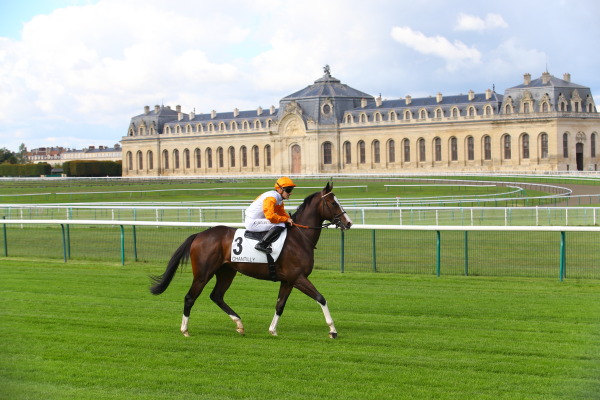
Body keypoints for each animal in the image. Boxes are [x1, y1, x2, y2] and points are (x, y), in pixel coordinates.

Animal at [150, 183, 354, 340]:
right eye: (332, 202)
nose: (349, 223)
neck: (299, 238)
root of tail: (199, 234)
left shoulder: (288, 280)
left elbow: (280, 305)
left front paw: (272, 330)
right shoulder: (298, 277)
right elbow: (321, 298)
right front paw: (333, 330)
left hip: (227, 272)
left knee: (217, 296)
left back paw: (239, 324)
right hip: (203, 273)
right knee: (190, 297)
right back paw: (185, 330)